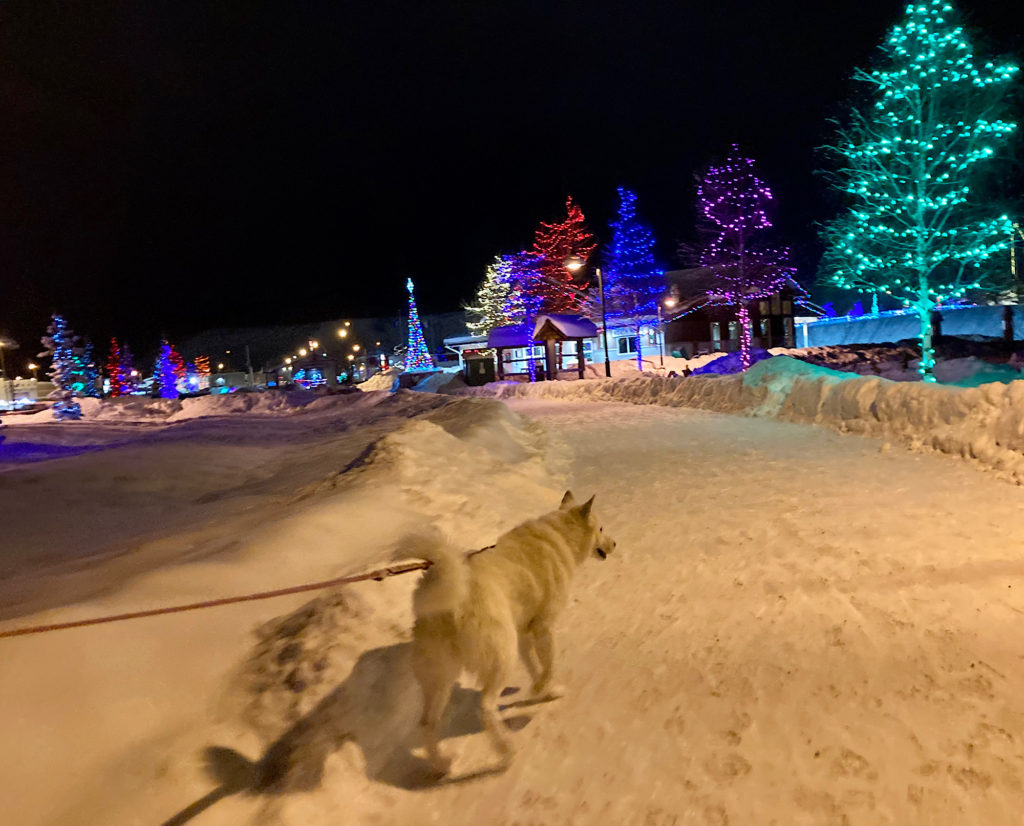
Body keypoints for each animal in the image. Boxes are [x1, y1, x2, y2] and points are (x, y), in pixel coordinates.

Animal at [405, 491, 614, 773]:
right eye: (601, 528)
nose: (614, 544)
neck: (559, 535)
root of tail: (449, 602)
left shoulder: (524, 633)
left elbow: (535, 666)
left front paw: (542, 690)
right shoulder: (543, 628)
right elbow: (549, 665)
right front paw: (544, 689)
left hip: (440, 678)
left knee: (428, 723)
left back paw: (442, 765)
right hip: (501, 657)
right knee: (485, 707)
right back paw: (506, 752)